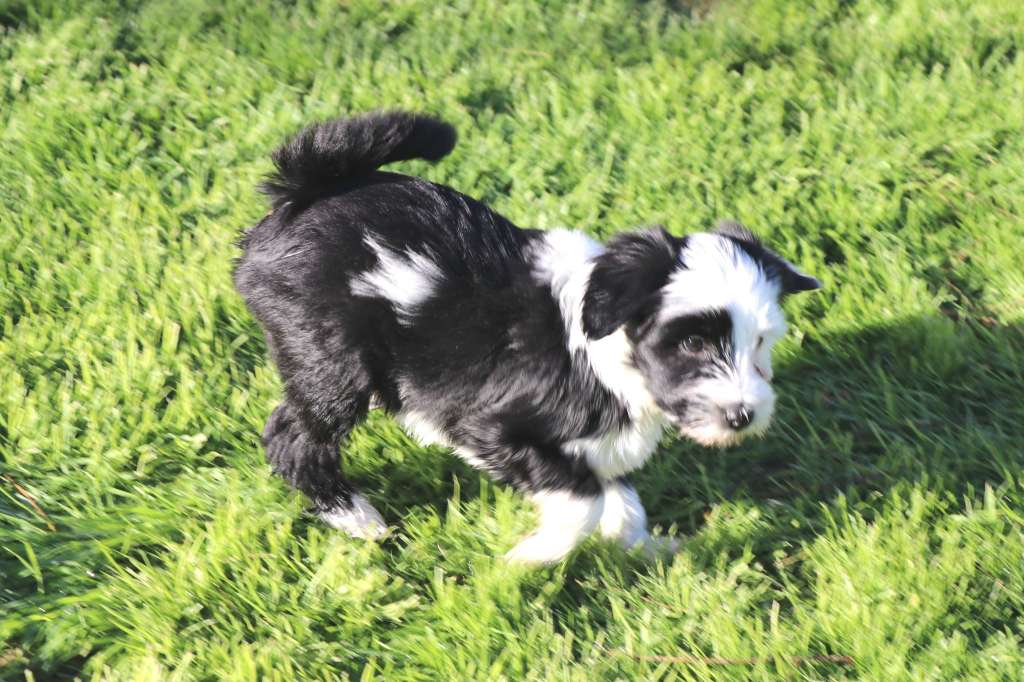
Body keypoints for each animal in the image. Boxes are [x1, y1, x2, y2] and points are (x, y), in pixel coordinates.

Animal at [234, 111, 820, 563]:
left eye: (760, 341)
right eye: (693, 343)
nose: (743, 415)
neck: (602, 351)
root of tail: (307, 193)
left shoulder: (595, 443)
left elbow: (619, 498)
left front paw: (644, 547)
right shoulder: (492, 427)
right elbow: (583, 501)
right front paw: (528, 558)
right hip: (333, 363)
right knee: (292, 436)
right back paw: (357, 517)